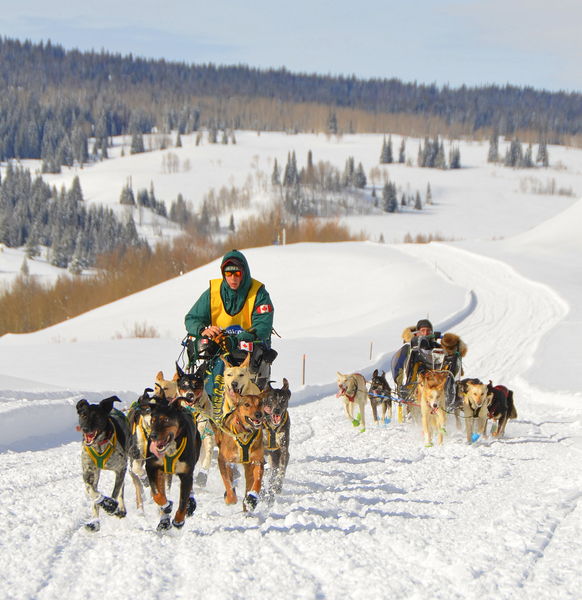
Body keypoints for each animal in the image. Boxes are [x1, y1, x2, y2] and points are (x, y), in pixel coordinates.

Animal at [76, 396, 144, 532]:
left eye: (97, 416)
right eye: (83, 415)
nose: (85, 429)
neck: (99, 445)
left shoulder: (121, 469)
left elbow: (116, 492)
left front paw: (111, 505)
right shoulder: (88, 472)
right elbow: (92, 492)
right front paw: (106, 504)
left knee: (121, 490)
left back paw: (121, 509)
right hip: (97, 473)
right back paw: (95, 522)